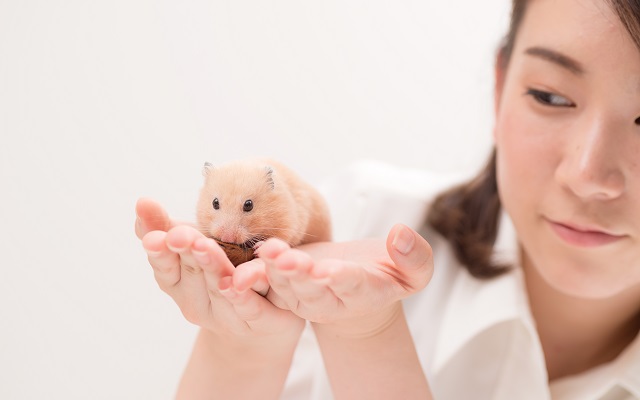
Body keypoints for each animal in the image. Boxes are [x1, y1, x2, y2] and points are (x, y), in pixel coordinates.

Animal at [198, 159, 332, 266]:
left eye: (248, 205)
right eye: (215, 203)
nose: (227, 238)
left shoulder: (288, 224)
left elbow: (280, 238)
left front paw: (259, 248)